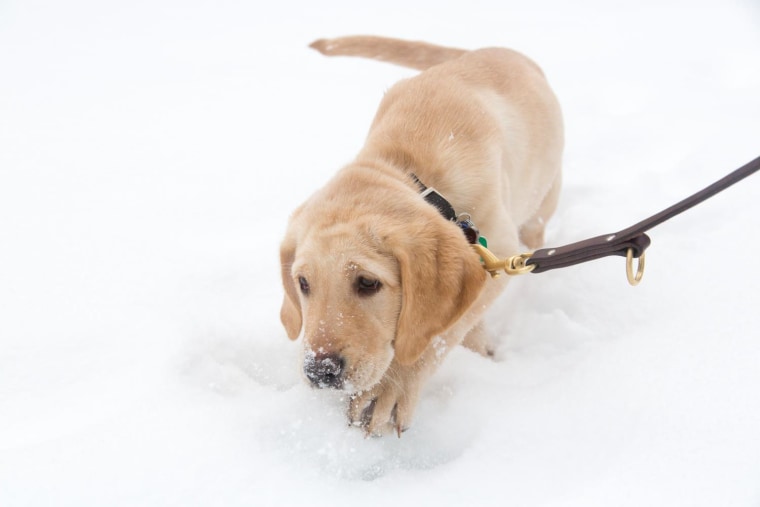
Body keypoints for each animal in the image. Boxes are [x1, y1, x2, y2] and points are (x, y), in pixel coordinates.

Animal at [280, 36, 564, 436]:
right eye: (303, 283)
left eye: (368, 282)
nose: (320, 372)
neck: (412, 169)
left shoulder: (498, 250)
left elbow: (437, 331)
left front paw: (389, 388)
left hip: (543, 200)